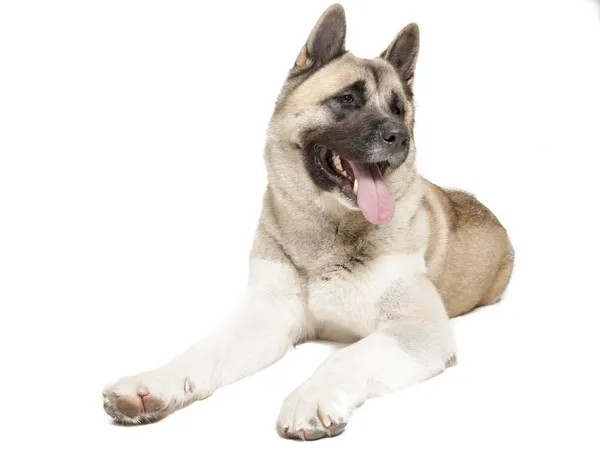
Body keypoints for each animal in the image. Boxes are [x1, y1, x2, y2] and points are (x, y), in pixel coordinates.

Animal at [101, 2, 512, 440]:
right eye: (347, 99)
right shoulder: (268, 316)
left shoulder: (417, 329)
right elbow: (206, 349)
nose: (399, 136)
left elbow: (345, 356)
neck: (327, 230)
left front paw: (311, 399)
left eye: (399, 109)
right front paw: (153, 384)